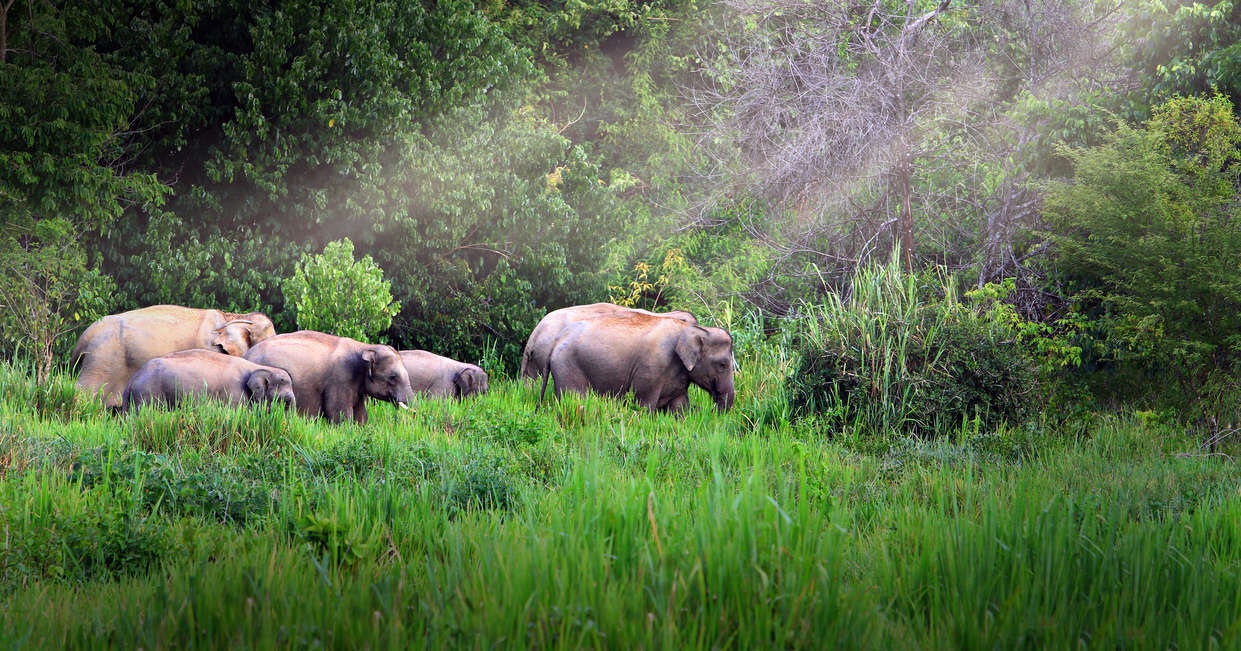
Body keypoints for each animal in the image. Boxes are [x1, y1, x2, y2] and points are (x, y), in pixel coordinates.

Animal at [239, 329, 414, 421]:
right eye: (393, 377)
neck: (364, 347)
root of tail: (245, 355)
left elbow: (361, 414)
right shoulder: (340, 378)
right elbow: (338, 412)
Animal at [543, 313, 734, 414]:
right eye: (723, 364)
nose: (711, 411)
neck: (688, 329)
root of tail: (557, 339)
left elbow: (679, 407)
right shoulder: (651, 369)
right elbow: (644, 405)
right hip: (567, 366)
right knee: (574, 399)